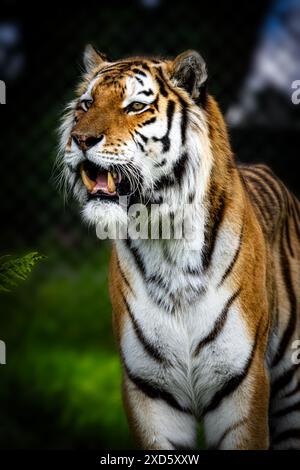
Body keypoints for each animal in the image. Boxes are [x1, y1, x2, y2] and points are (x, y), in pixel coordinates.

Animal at [59, 45, 300, 452]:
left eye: (135, 107)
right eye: (86, 104)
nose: (80, 138)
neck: (165, 238)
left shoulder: (243, 383)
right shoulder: (149, 390)